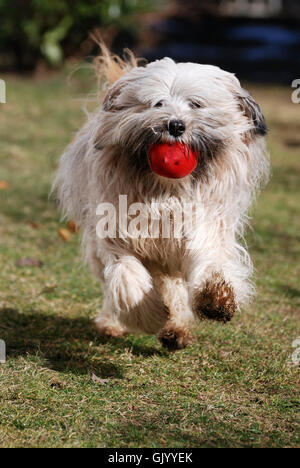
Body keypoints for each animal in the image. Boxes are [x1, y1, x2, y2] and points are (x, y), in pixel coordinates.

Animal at [53, 45, 270, 350]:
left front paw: (215, 297)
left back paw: (176, 328)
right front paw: (149, 314)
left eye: (196, 104)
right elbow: (127, 277)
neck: (166, 190)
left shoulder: (202, 225)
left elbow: (208, 257)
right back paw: (116, 322)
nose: (175, 126)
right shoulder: (116, 234)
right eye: (157, 103)